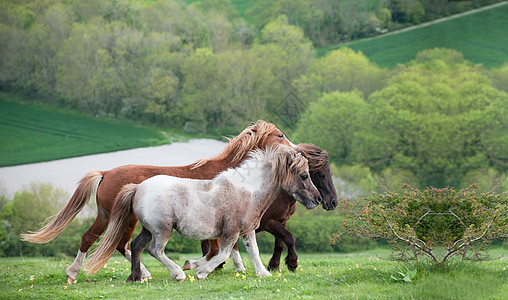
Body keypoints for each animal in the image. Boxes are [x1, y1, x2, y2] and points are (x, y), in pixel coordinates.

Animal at [20, 119, 290, 284]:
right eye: (280, 134)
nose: (295, 148)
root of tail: (105, 172)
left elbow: (226, 247)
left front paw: (231, 267)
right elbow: (219, 248)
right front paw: (194, 267)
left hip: (106, 216)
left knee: (92, 238)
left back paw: (77, 273)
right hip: (126, 219)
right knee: (122, 245)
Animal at [85, 145, 320, 282]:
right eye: (304, 175)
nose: (317, 199)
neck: (247, 190)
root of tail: (138, 188)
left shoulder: (247, 231)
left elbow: (253, 251)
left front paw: (264, 273)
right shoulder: (230, 232)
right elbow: (223, 254)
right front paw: (200, 271)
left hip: (148, 229)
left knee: (136, 246)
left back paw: (136, 277)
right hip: (162, 230)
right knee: (155, 250)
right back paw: (178, 274)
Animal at [201, 143, 338, 272]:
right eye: (321, 175)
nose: (333, 202)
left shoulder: (282, 221)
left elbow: (280, 243)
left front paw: (274, 265)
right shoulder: (267, 223)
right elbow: (290, 238)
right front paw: (292, 263)